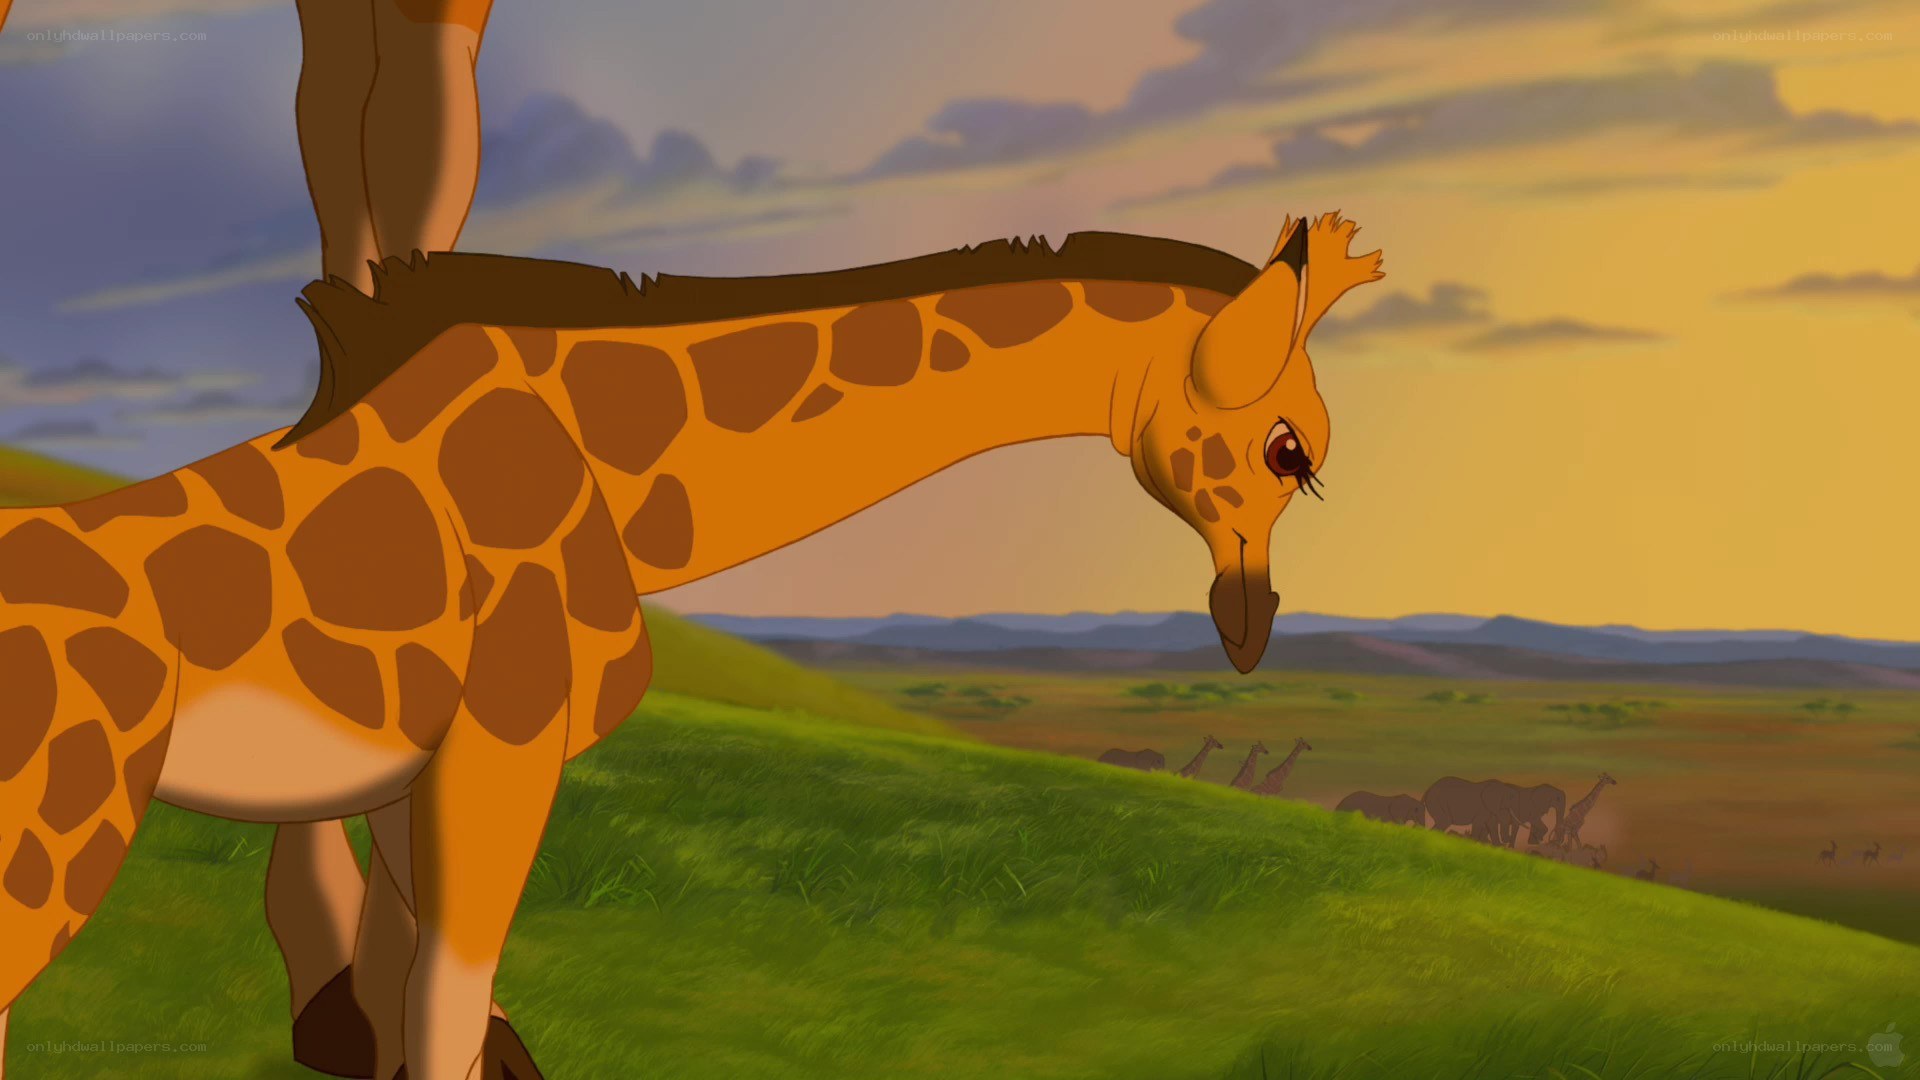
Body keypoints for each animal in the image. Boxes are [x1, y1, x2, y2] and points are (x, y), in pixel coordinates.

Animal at [0, 213, 1383, 1078]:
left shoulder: (423, 768)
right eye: (1289, 452)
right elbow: (449, 1005)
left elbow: (450, 1008)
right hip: (57, 830)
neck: (619, 483)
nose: (1247, 631)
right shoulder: (506, 736)